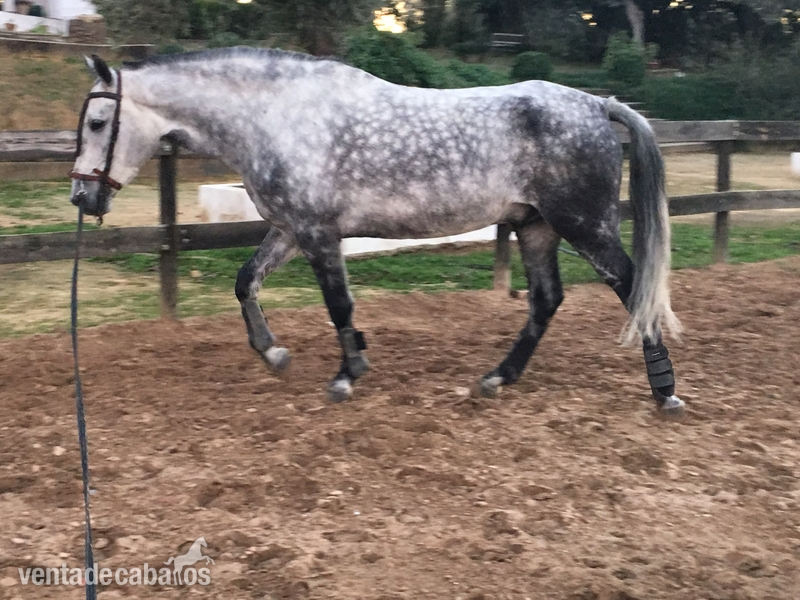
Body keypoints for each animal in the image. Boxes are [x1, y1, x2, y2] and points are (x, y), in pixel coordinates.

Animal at [69, 48, 683, 416]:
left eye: (98, 123)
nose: (82, 197)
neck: (275, 116)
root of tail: (597, 104)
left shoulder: (318, 233)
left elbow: (339, 305)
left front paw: (347, 375)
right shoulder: (289, 229)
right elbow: (246, 283)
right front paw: (275, 355)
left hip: (585, 225)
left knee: (632, 287)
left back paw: (665, 392)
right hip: (535, 228)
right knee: (546, 300)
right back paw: (496, 378)